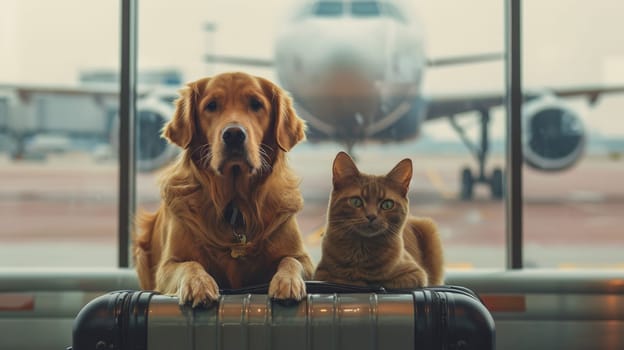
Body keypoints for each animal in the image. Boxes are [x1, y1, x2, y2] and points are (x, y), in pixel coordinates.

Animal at [133, 72, 314, 306]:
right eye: (211, 105)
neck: (235, 205)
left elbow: (291, 260)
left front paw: (287, 281)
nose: (234, 134)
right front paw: (199, 284)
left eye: (256, 104)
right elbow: (190, 265)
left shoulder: (305, 259)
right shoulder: (167, 266)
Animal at [316, 152, 444, 288]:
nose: (371, 216)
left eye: (387, 204)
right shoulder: (321, 272)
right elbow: (340, 278)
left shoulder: (415, 273)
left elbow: (385, 281)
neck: (361, 250)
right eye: (356, 201)